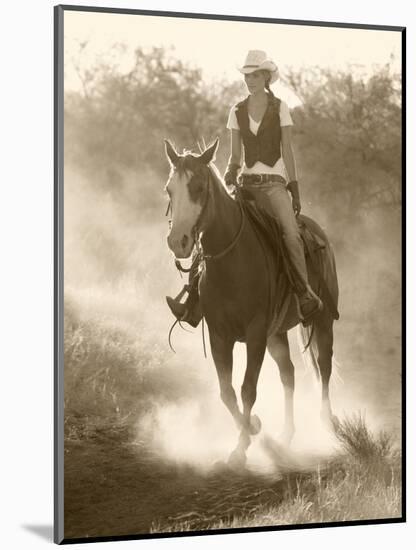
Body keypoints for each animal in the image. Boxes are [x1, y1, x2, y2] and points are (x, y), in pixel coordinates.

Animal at [164, 137, 340, 466]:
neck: (233, 259)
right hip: (277, 334)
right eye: (170, 189)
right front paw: (253, 429)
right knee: (288, 374)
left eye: (198, 187)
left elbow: (247, 389)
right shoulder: (220, 335)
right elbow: (226, 391)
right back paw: (286, 434)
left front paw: (241, 446)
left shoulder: (256, 334)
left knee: (324, 366)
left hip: (322, 322)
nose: (177, 242)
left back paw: (327, 422)